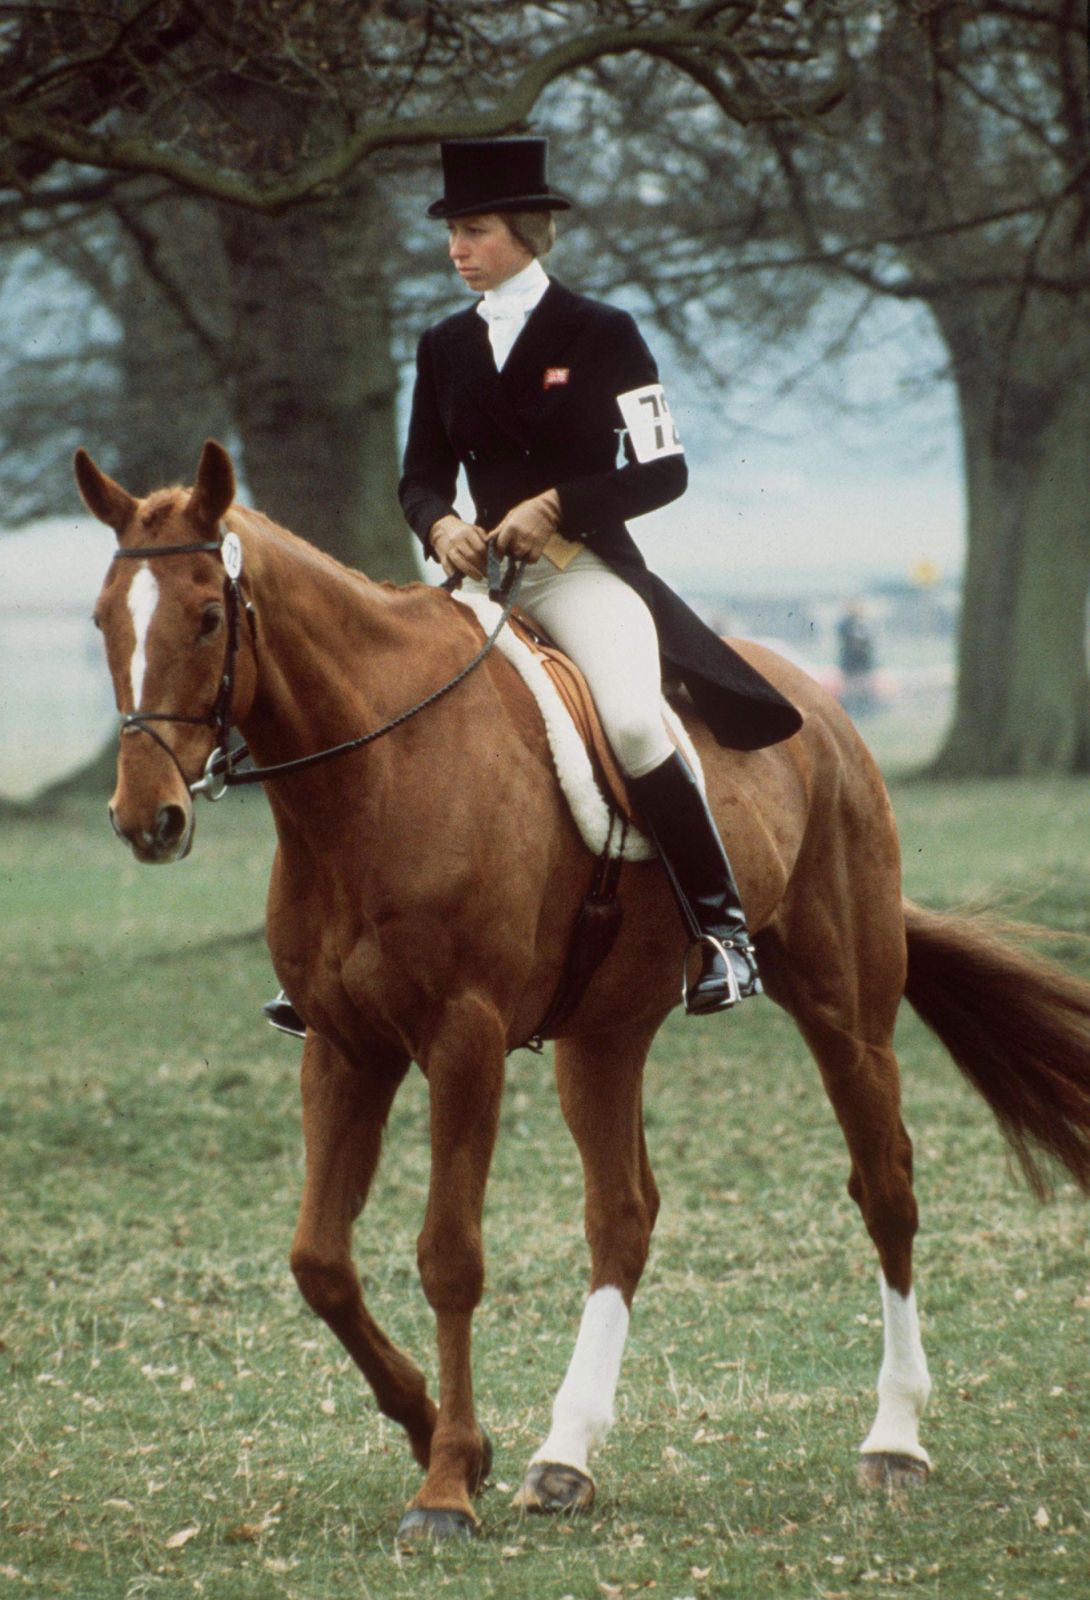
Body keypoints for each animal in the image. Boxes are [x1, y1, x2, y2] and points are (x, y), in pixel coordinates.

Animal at [76, 439, 1090, 1544]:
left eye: (206, 616)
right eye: (102, 618)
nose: (145, 819)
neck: (374, 778)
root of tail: (823, 712)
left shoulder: (463, 1039)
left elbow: (449, 1255)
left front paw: (445, 1485)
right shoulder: (345, 1046)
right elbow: (320, 1261)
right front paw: (441, 1435)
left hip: (844, 1007)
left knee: (887, 1187)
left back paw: (894, 1438)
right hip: (602, 1036)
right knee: (624, 1214)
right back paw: (563, 1456)